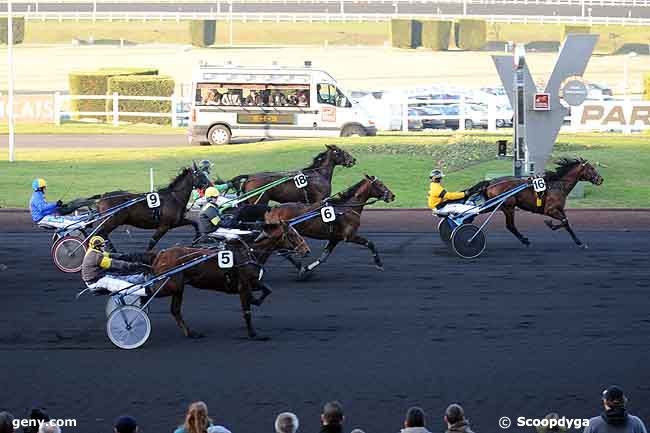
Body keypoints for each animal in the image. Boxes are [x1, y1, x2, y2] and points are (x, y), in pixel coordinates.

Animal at [149, 221, 308, 340]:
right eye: (292, 234)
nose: (306, 250)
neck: (248, 252)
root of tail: (160, 254)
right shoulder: (244, 285)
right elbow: (246, 311)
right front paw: (253, 334)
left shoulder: (252, 281)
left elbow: (267, 289)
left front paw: (255, 300)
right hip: (169, 285)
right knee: (150, 294)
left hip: (178, 287)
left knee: (175, 310)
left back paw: (191, 333)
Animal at [264, 175, 394, 278]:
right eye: (380, 184)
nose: (392, 196)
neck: (347, 208)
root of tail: (273, 209)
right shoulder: (349, 236)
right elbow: (370, 243)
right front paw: (379, 263)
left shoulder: (334, 238)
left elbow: (323, 258)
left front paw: (307, 269)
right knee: (282, 251)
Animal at [470, 158, 604, 246]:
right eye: (591, 168)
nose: (600, 179)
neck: (558, 185)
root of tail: (491, 182)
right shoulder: (550, 210)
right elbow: (564, 221)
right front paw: (550, 224)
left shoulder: (559, 208)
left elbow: (566, 223)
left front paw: (579, 242)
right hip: (508, 207)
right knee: (510, 226)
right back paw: (524, 240)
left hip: (497, 205)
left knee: (481, 211)